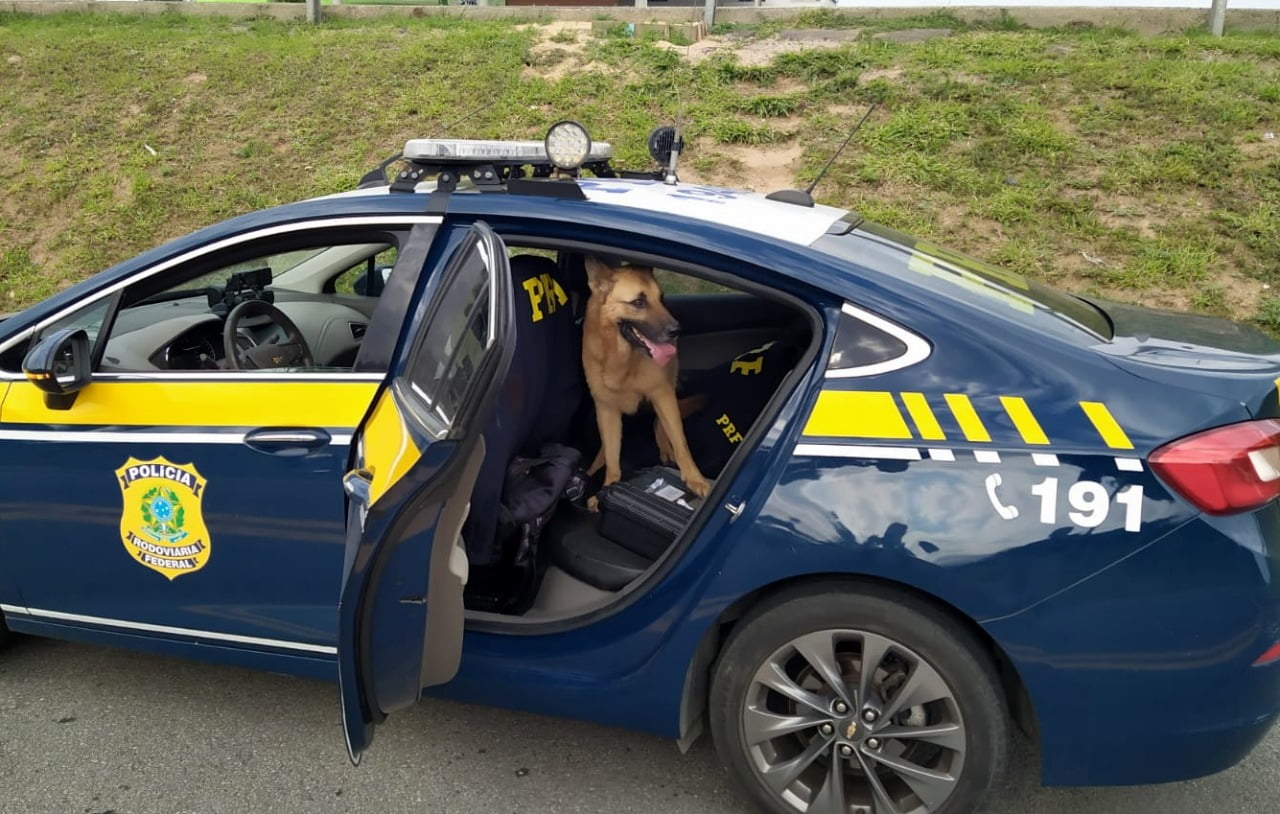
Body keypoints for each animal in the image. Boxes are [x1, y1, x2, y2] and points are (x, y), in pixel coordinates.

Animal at [586, 254, 716, 499]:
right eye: (638, 302)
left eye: (662, 298)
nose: (677, 331)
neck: (622, 358)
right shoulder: (606, 409)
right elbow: (612, 456)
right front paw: (607, 487)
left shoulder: (662, 394)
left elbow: (681, 442)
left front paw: (695, 479)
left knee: (661, 423)